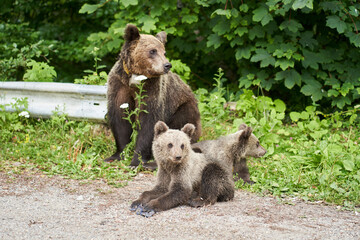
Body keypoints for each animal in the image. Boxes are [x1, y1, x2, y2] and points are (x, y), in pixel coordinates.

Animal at [105, 23, 201, 168]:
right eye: (152, 51)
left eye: (164, 52)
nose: (167, 65)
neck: (136, 78)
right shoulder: (119, 85)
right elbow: (120, 119)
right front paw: (116, 155)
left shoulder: (152, 90)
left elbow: (149, 122)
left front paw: (136, 160)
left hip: (183, 106)